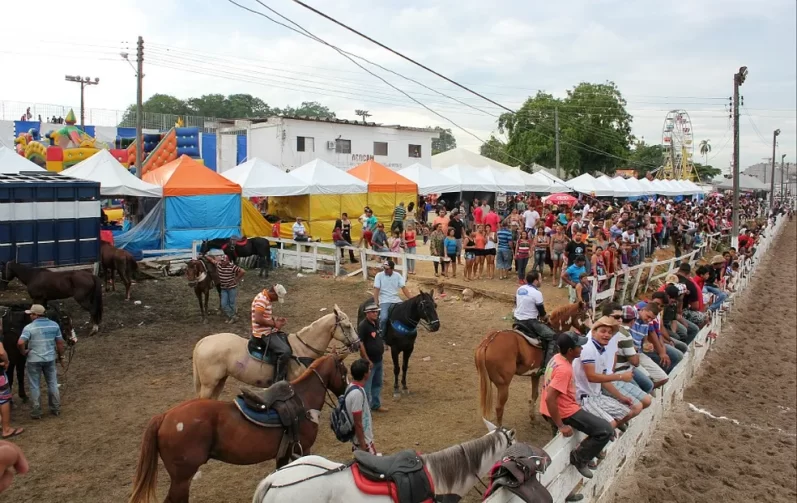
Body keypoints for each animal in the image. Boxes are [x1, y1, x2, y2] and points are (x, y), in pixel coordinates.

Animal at [127, 354, 346, 503]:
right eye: (344, 372)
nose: (345, 390)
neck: (302, 400)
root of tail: (165, 416)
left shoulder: (284, 453)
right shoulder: (304, 448)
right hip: (182, 478)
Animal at [192, 306, 358, 400]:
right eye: (347, 326)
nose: (357, 344)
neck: (303, 349)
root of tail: (203, 341)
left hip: (220, 380)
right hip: (208, 384)